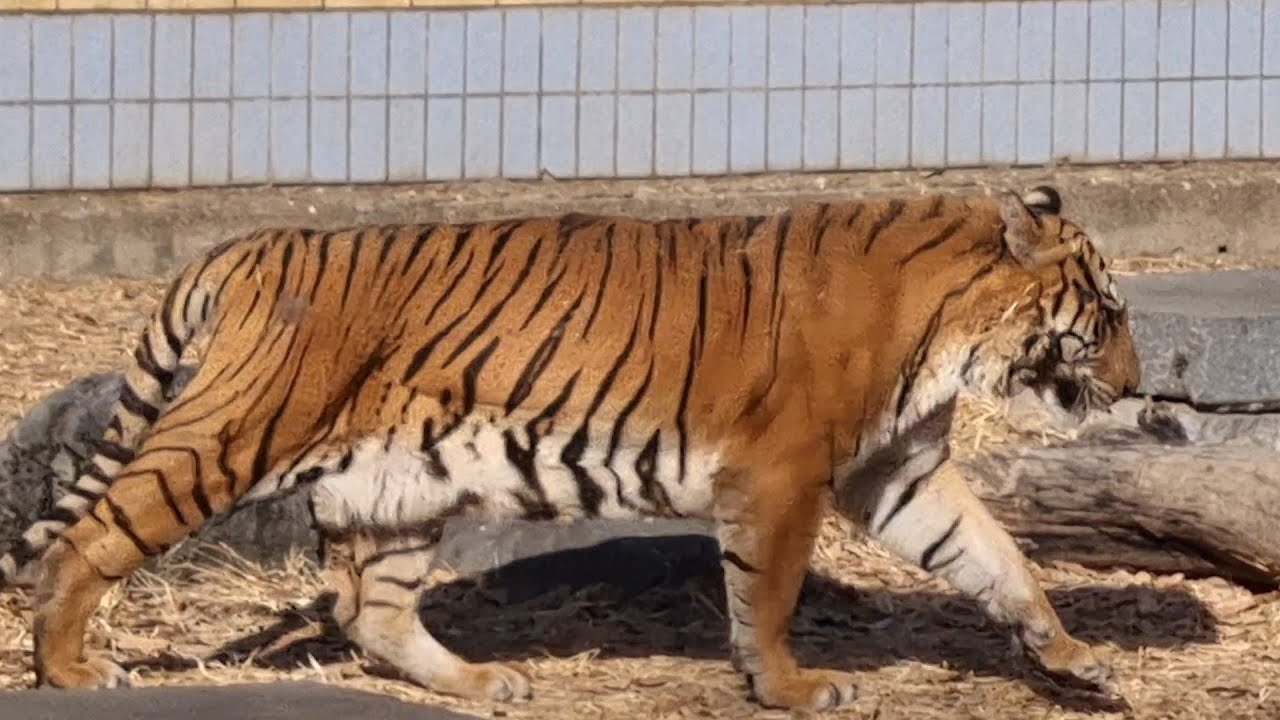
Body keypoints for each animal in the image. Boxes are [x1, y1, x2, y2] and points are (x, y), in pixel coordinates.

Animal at [0, 185, 1139, 711]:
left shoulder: (894, 473)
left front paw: (1071, 657)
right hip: (234, 436)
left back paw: (482, 684)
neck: (952, 334)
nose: (1132, 385)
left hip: (404, 486)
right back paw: (70, 670)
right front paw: (790, 689)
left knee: (371, 611)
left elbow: (995, 555)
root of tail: (250, 244)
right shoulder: (783, 476)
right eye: (1110, 312)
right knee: (87, 541)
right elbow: (767, 595)